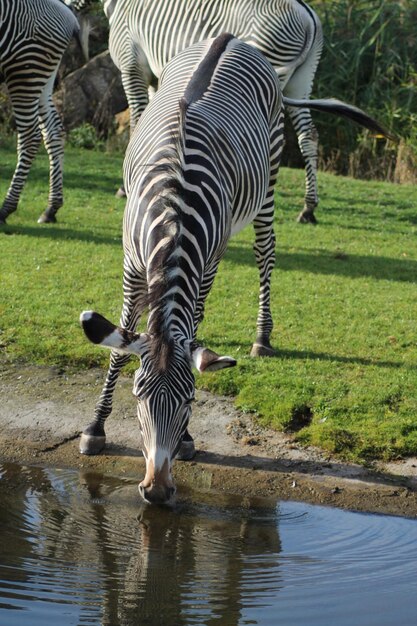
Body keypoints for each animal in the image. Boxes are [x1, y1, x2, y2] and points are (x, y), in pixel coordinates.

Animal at [0, 0, 83, 224]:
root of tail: (68, 13)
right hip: (44, 76)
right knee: (53, 130)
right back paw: (51, 208)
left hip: (25, 71)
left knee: (30, 135)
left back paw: (6, 209)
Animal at [78, 33, 386, 502]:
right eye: (137, 395)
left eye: (190, 401)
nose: (156, 492)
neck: (173, 211)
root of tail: (230, 39)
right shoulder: (131, 262)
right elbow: (121, 339)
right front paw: (95, 428)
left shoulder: (207, 264)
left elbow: (194, 321)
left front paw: (187, 440)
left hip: (270, 174)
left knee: (265, 251)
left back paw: (262, 336)